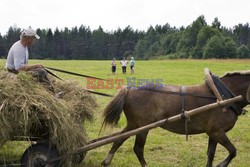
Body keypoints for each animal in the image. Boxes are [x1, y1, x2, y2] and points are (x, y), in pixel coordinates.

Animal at [100, 71, 249, 167]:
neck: (222, 96)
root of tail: (130, 89)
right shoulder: (217, 132)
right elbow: (233, 151)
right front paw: (221, 164)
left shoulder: (214, 133)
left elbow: (210, 155)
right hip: (142, 127)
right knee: (138, 149)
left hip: (134, 125)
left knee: (118, 140)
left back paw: (106, 161)